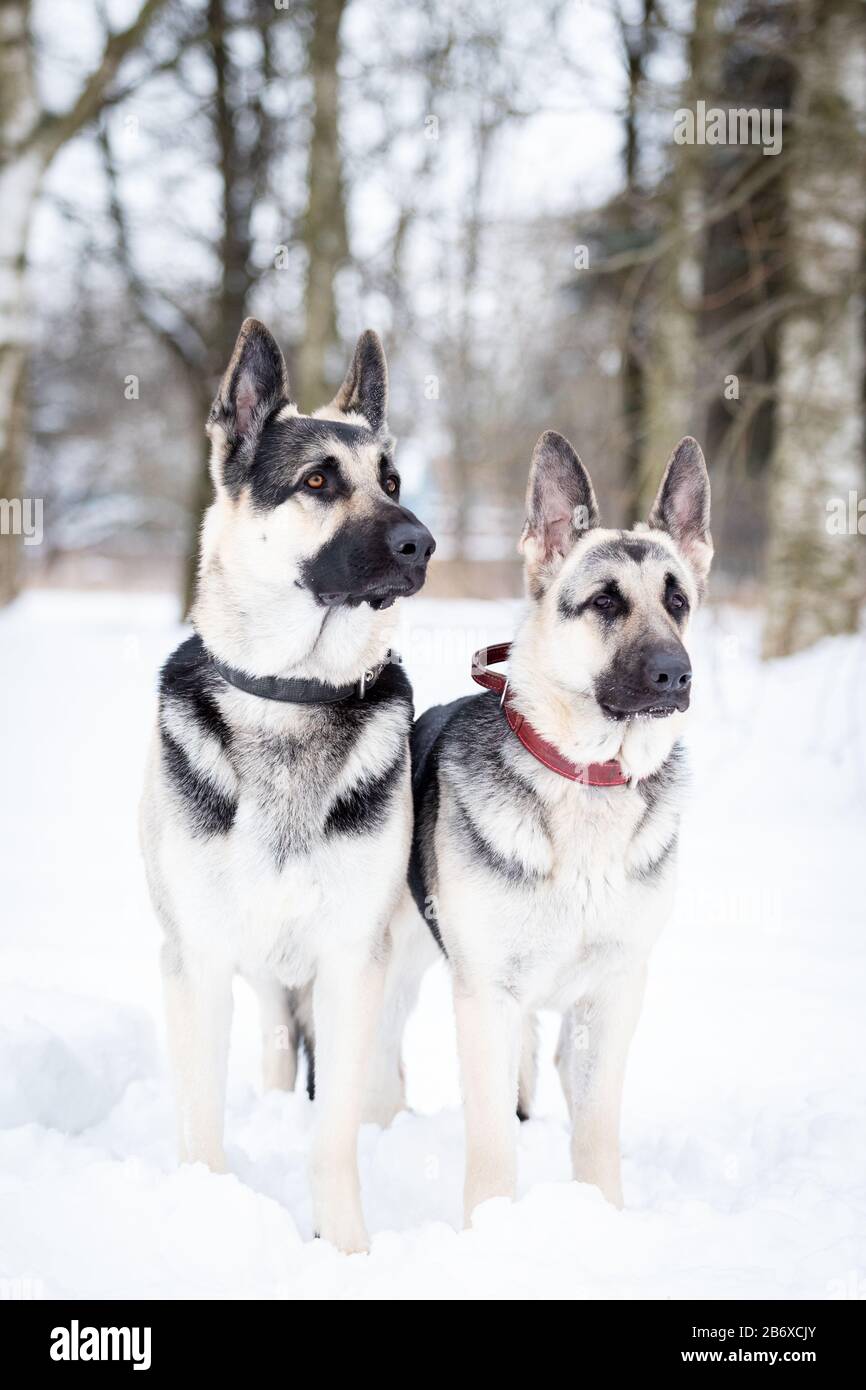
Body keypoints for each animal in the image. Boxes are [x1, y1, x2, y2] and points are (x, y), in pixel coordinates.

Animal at [140, 319, 433, 1256]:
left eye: (391, 481)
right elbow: (200, 1118)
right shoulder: (196, 960)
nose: (422, 543)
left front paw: (345, 1249)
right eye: (317, 482)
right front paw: (210, 1218)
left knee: (378, 1082)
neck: (292, 693)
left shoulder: (351, 962)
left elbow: (334, 1134)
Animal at [405, 428, 711, 1223]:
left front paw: (601, 1217)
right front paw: (490, 1229)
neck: (587, 779)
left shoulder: (612, 996)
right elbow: (490, 1144)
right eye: (605, 601)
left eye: (678, 600)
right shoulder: (486, 997)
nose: (676, 674)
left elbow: (596, 1129)